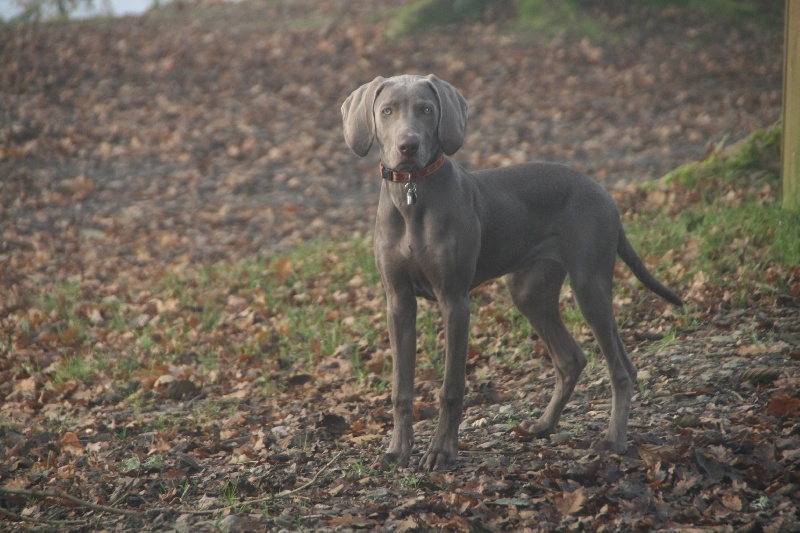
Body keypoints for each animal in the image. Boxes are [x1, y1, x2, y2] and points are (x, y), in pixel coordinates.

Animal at [340, 72, 680, 468]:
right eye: (387, 110)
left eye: (426, 110)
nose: (408, 146)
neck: (412, 195)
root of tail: (603, 191)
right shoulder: (398, 302)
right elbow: (400, 389)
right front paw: (398, 449)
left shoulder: (455, 301)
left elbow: (451, 387)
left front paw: (441, 451)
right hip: (530, 292)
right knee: (571, 359)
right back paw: (544, 426)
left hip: (589, 286)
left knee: (621, 370)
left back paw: (614, 440)